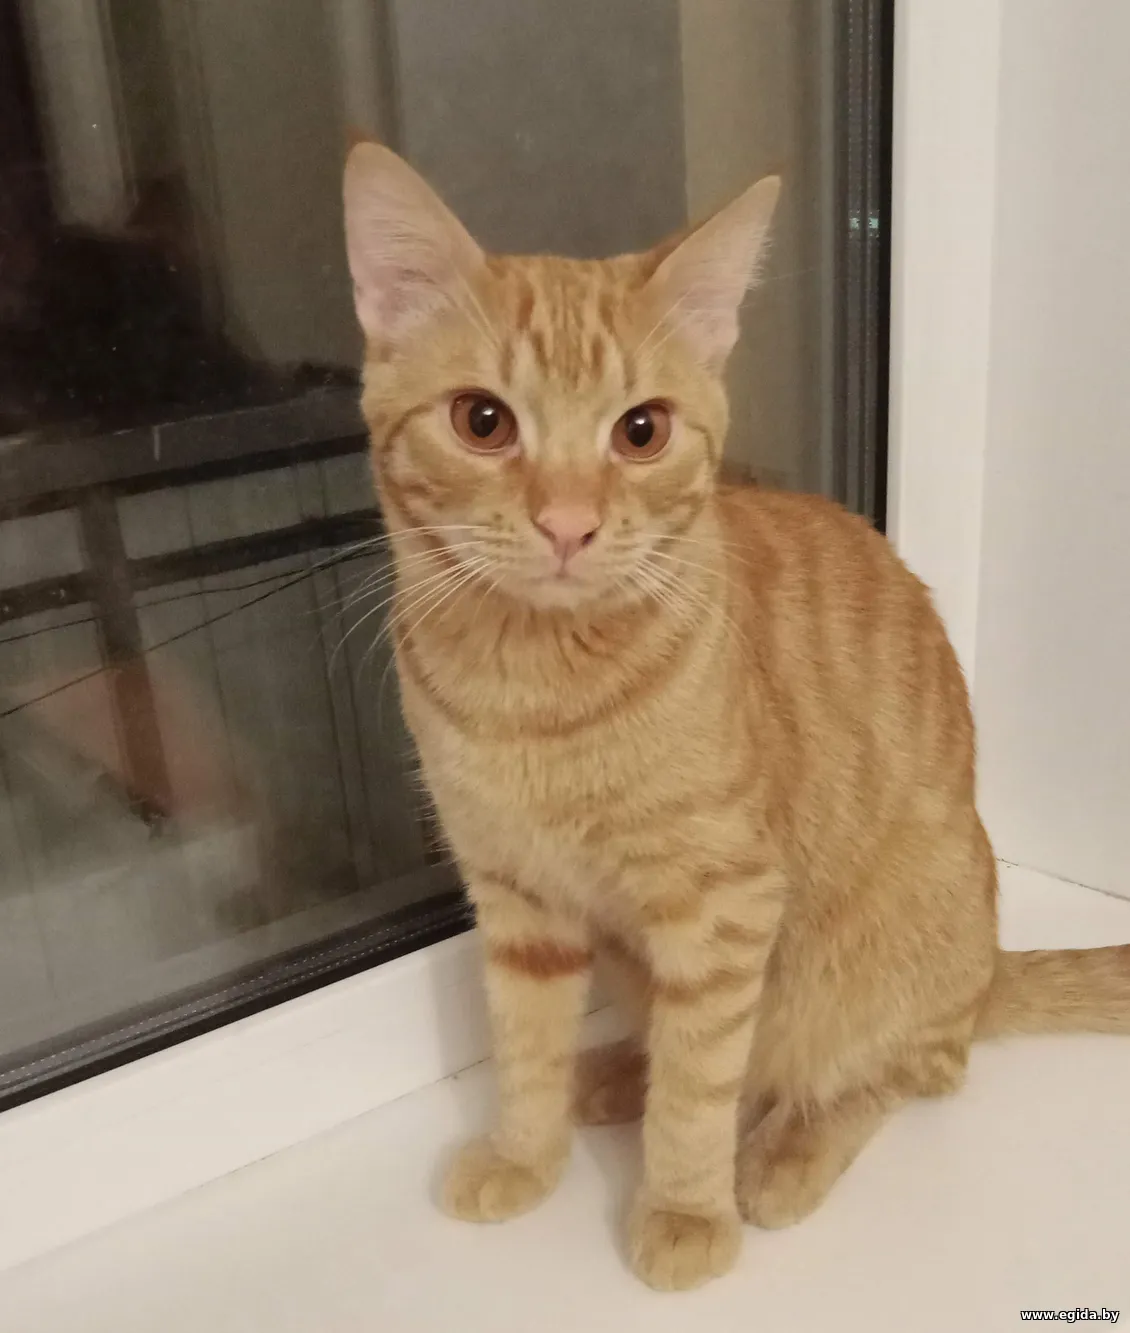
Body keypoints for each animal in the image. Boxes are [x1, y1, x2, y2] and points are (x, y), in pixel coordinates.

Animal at [342, 142, 1130, 1291]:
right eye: (482, 421)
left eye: (642, 431)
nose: (568, 524)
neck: (536, 688)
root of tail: (984, 978)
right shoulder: (518, 895)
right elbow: (525, 1045)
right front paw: (524, 1154)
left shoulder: (722, 908)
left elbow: (701, 1082)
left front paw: (683, 1209)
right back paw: (610, 1075)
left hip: (881, 951)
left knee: (894, 1070)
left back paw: (780, 1155)